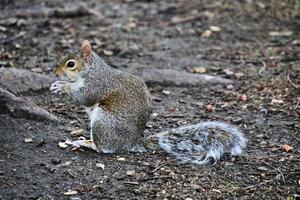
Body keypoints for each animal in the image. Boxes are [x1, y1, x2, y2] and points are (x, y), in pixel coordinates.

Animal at [49, 39, 246, 165]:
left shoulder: (98, 84)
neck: (91, 70)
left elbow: (86, 96)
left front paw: (63, 87)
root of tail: (130, 144)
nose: (56, 73)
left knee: (103, 148)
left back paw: (86, 143)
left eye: (71, 64)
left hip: (103, 122)